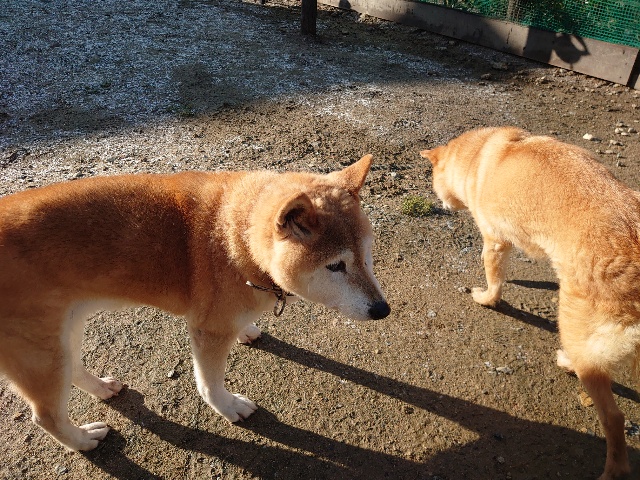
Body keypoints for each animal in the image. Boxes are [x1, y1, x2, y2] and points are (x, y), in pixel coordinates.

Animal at [0, 154, 390, 451]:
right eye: (335, 266)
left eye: (367, 254)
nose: (382, 310)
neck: (237, 237)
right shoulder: (208, 330)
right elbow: (209, 384)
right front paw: (229, 407)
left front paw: (247, 329)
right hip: (39, 350)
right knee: (46, 415)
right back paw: (82, 441)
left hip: (64, 327)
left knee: (73, 368)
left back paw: (101, 388)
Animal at [421, 127, 640, 480]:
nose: (441, 204)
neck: (476, 155)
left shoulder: (494, 241)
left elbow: (494, 279)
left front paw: (486, 298)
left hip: (575, 326)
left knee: (613, 417)